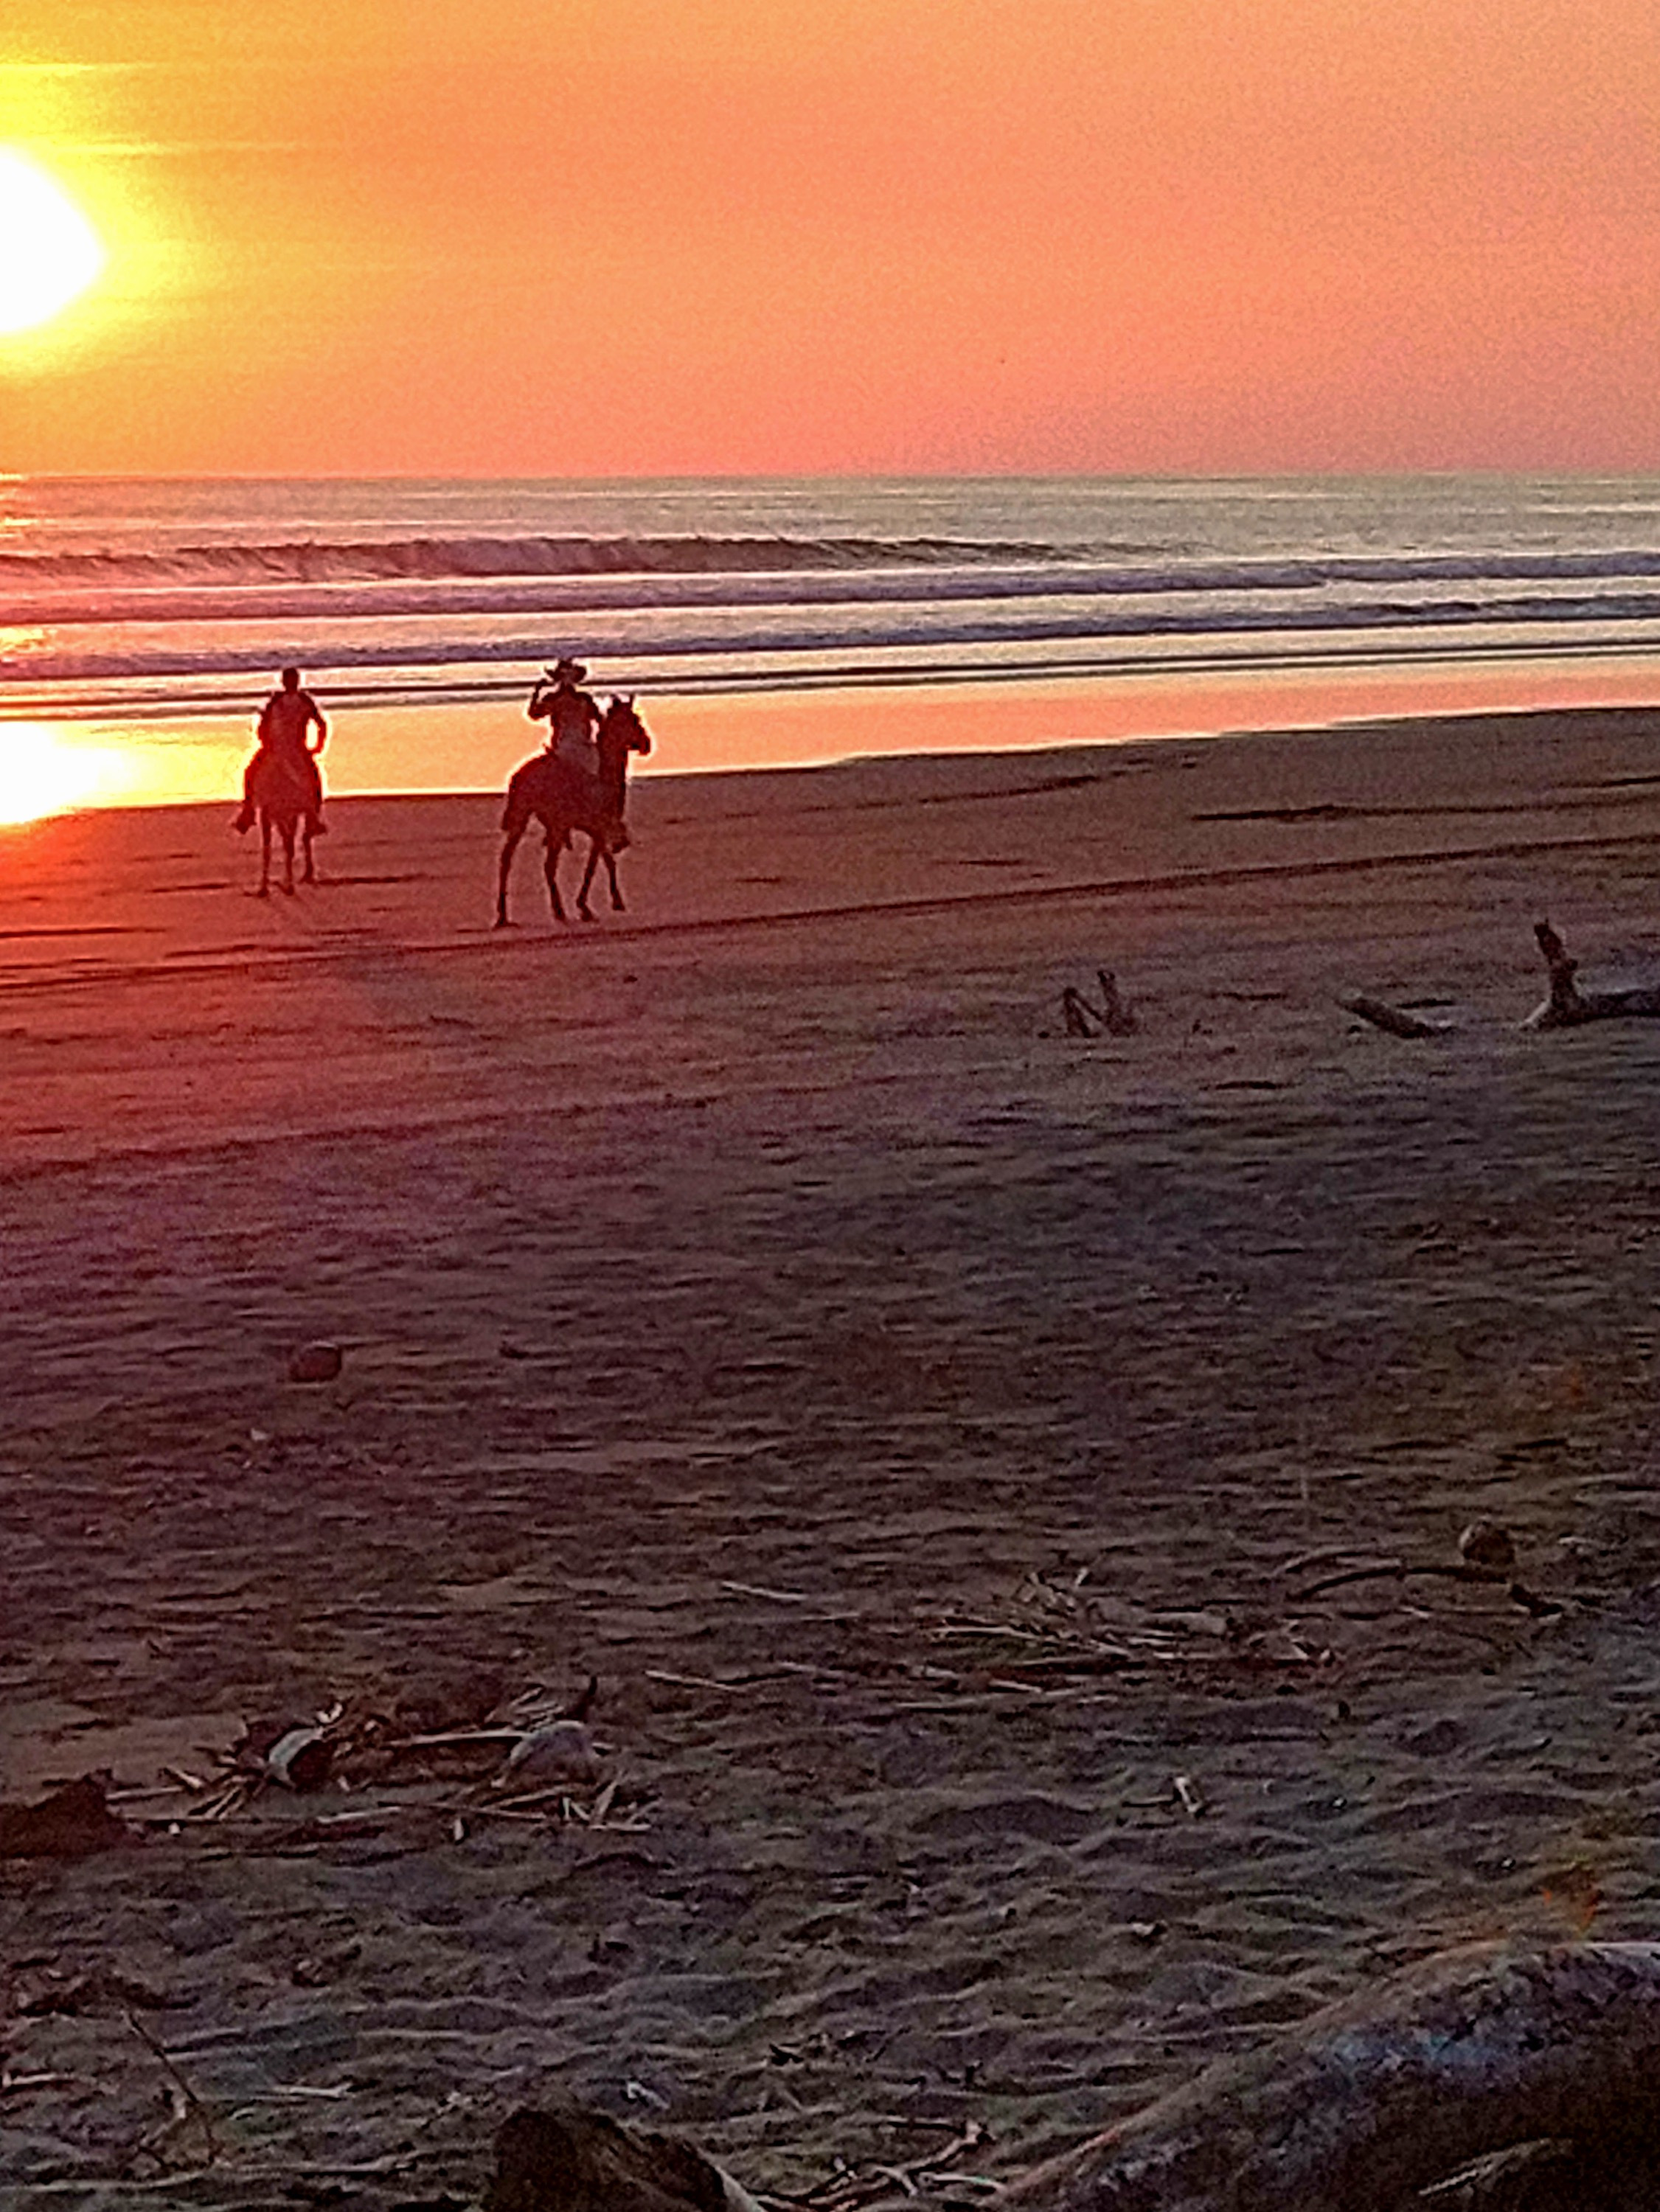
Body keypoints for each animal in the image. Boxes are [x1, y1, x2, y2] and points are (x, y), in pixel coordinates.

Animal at [498, 699, 655, 925]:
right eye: (633, 720)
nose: (646, 744)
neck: (604, 786)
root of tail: (518, 777)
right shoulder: (599, 828)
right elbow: (597, 864)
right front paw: (590, 907)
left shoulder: (596, 830)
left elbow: (604, 861)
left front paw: (602, 904)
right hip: (551, 823)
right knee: (548, 865)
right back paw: (559, 911)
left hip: (522, 814)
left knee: (507, 858)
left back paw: (503, 915)